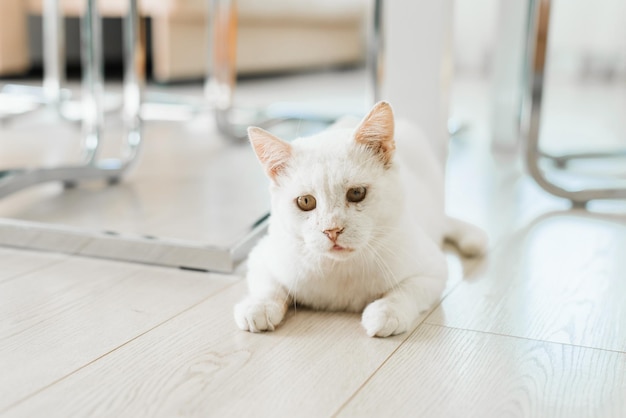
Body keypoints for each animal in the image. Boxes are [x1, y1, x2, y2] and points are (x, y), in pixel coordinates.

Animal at [233, 101, 482, 336]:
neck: (340, 269)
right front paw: (259, 306)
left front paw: (387, 311)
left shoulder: (433, 269)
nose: (332, 230)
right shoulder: (262, 256)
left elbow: (408, 290)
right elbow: (269, 286)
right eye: (305, 201)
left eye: (356, 193)